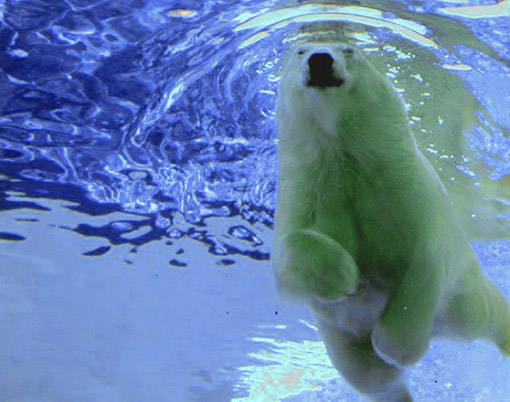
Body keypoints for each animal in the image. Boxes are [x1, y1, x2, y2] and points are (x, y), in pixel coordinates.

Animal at [272, 42, 510, 400]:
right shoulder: (306, 195)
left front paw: (396, 348)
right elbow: (286, 260)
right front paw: (341, 275)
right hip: (340, 339)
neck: (342, 158)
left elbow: (424, 259)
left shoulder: (409, 193)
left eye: (349, 49)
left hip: (458, 298)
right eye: (300, 51)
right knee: (368, 377)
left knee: (483, 313)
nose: (320, 60)